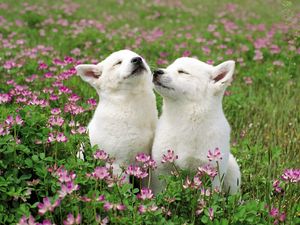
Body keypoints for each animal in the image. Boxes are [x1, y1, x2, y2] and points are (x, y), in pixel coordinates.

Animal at [151, 57, 240, 193]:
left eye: (182, 72)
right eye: (168, 67)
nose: (156, 71)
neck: (186, 119)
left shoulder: (212, 172)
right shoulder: (161, 167)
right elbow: (161, 191)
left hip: (233, 171)